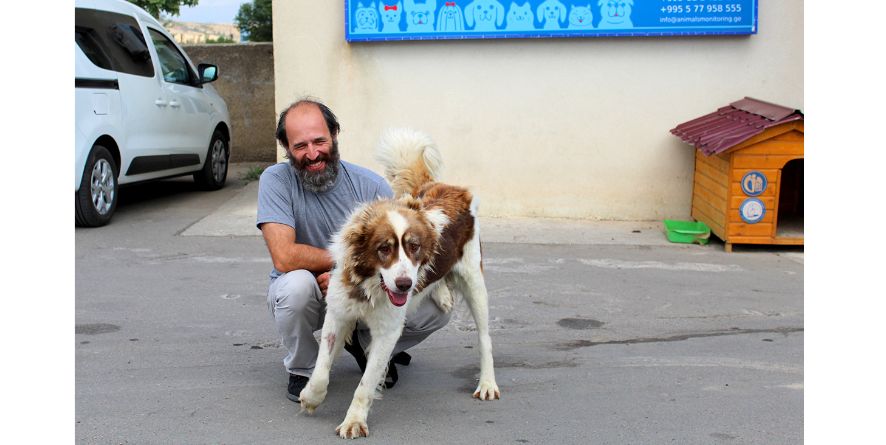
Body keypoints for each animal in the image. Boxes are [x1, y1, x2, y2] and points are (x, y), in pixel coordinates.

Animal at [302, 127, 502, 438]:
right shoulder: (337, 313)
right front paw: (311, 397)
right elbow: (322, 369)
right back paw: (441, 294)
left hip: (474, 281)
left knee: (484, 338)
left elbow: (364, 385)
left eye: (414, 247)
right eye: (384, 248)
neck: (369, 285)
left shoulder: (387, 331)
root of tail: (452, 188)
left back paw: (487, 383)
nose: (406, 285)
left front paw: (354, 420)